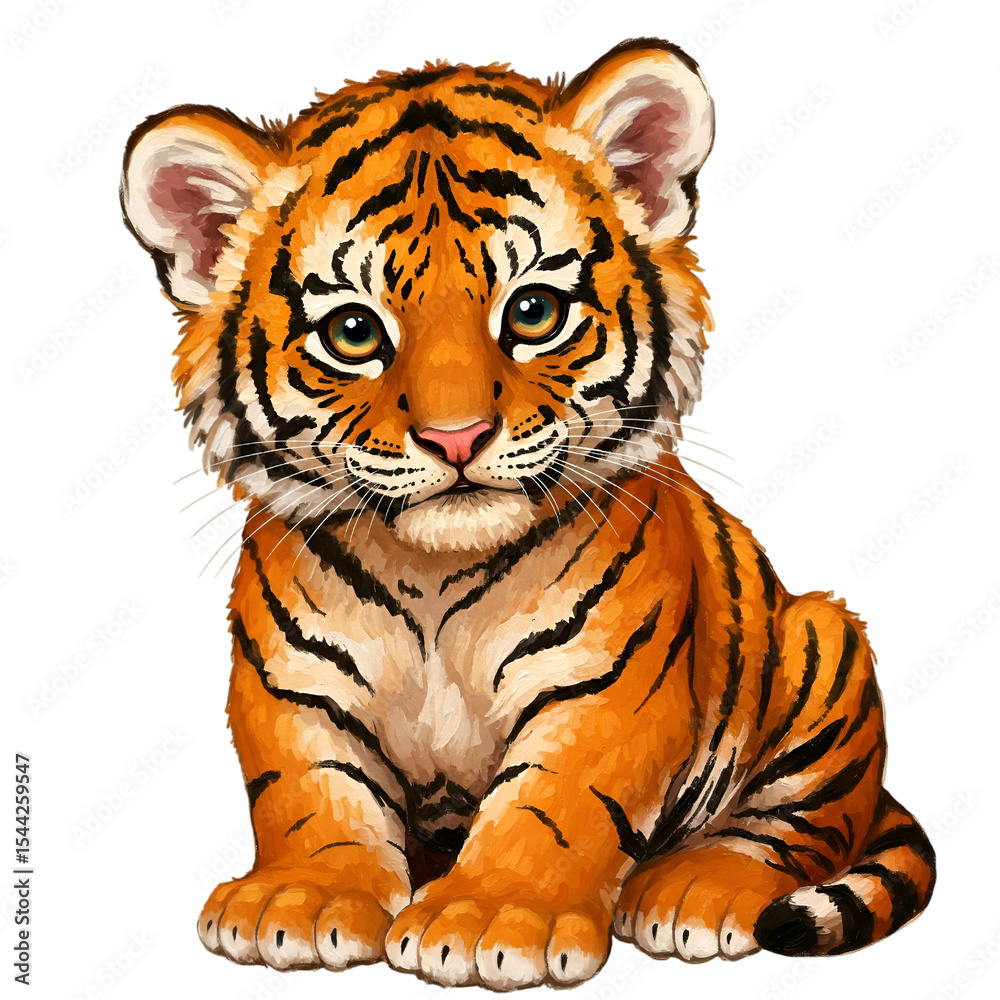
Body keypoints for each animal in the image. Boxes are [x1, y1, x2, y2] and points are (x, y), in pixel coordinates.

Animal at [120, 37, 935, 990]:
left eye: (533, 312)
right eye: (354, 333)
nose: (457, 436)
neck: (431, 576)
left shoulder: (605, 686)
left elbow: (552, 802)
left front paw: (487, 918)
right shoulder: (290, 683)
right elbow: (307, 790)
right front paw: (302, 898)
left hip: (824, 644)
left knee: (799, 826)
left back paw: (695, 887)